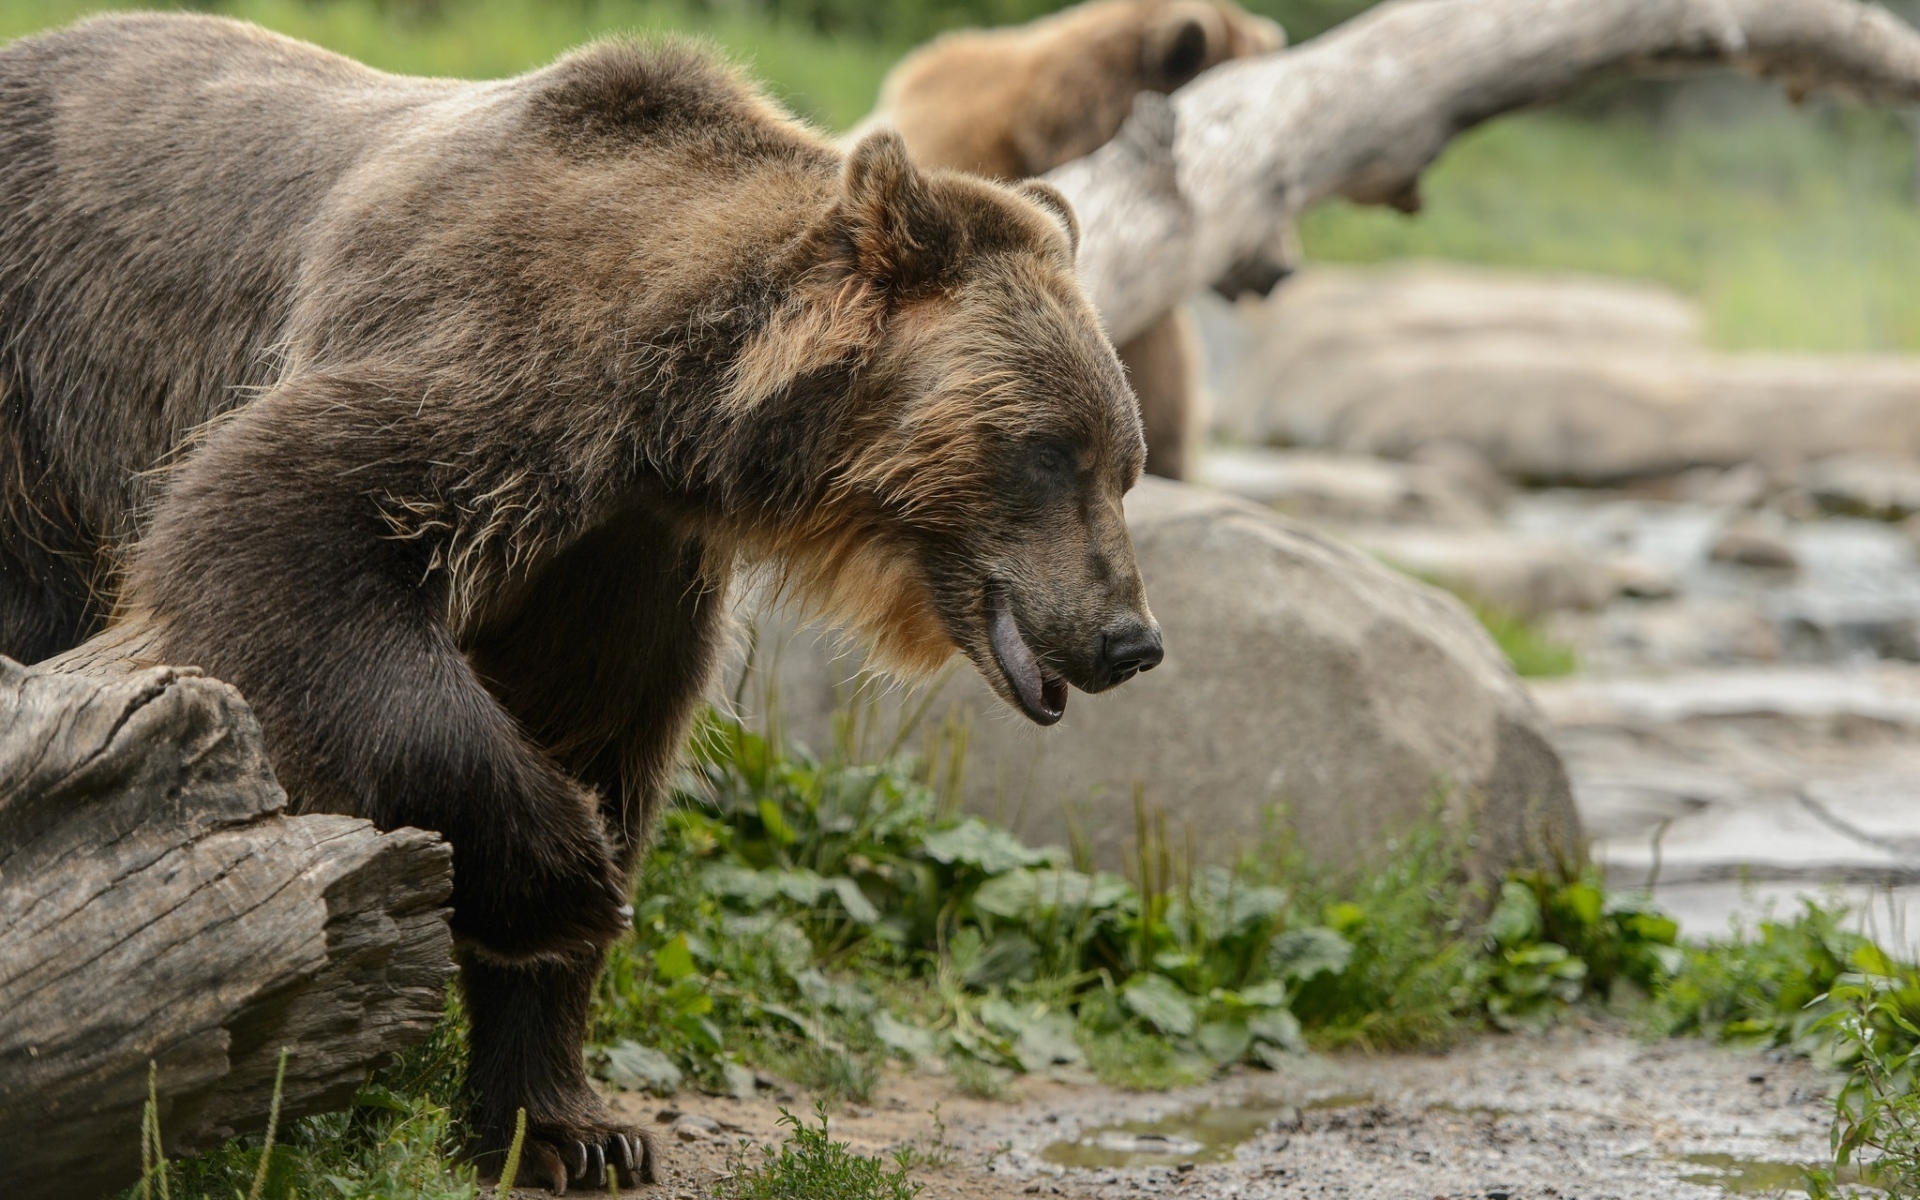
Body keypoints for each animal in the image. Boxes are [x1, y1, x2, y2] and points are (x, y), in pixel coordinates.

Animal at [0, 13, 1163, 1192]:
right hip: (35, 398)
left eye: (1126, 463)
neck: (672, 417)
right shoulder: (486, 367)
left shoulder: (614, 563)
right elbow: (274, 529)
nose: (1130, 638)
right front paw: (570, 879)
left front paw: (567, 1125)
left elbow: (601, 733)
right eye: (1050, 451)